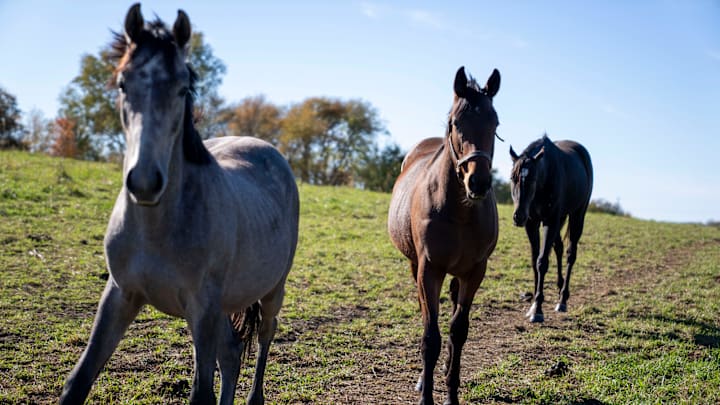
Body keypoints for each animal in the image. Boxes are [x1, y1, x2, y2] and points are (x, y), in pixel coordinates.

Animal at [60, 5, 299, 404]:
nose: (144, 182)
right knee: (231, 354)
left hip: (270, 291)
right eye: (123, 84)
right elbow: (77, 382)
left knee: (265, 335)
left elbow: (201, 393)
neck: (158, 228)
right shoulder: (120, 295)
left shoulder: (201, 308)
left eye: (183, 88)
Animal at [388, 66, 501, 405]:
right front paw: (426, 394)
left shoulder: (475, 271)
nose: (478, 181)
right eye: (455, 122)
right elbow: (431, 335)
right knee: (427, 313)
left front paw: (452, 393)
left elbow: (458, 331)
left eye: (495, 123)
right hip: (416, 267)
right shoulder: (429, 268)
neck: (460, 210)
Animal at [509, 135, 593, 323]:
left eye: (532, 179)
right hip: (560, 218)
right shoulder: (531, 223)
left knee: (570, 254)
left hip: (577, 215)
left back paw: (562, 299)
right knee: (559, 247)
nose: (518, 217)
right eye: (512, 178)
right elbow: (535, 260)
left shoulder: (550, 221)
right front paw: (533, 304)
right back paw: (560, 287)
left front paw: (538, 310)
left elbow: (542, 262)